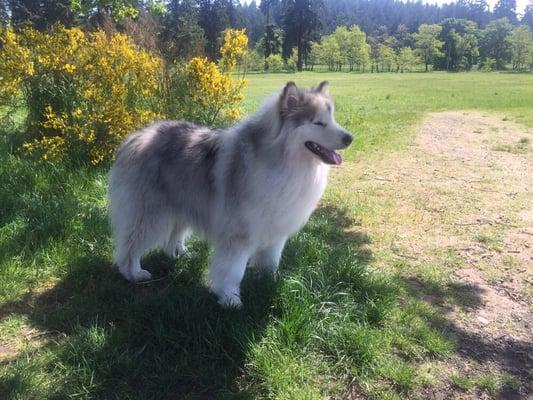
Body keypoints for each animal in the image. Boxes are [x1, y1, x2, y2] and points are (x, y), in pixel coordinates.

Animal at [108, 80, 354, 306]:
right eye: (318, 122)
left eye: (332, 119)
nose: (349, 138)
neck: (284, 162)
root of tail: (135, 137)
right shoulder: (238, 234)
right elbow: (233, 271)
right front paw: (230, 299)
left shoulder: (276, 230)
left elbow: (271, 260)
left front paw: (269, 282)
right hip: (149, 214)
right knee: (130, 245)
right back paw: (133, 273)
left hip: (182, 202)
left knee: (173, 234)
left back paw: (178, 254)